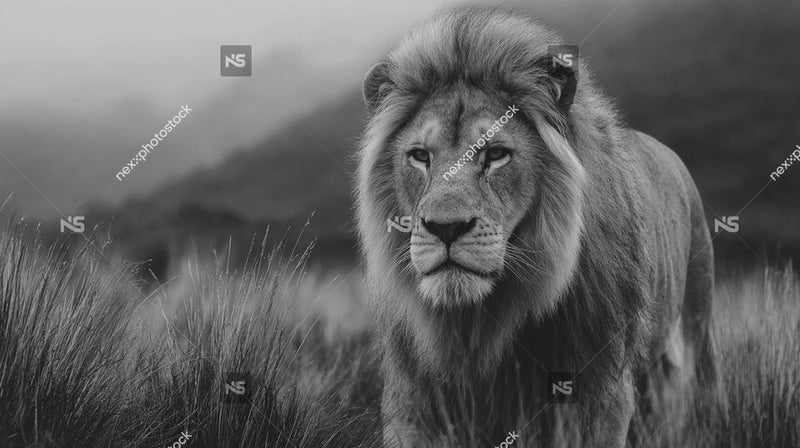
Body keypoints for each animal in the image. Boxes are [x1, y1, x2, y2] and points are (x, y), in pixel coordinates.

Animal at [355, 6, 718, 447]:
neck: (477, 326)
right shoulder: (413, 403)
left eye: (496, 154)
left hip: (693, 338)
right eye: (420, 156)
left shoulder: (600, 394)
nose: (446, 228)